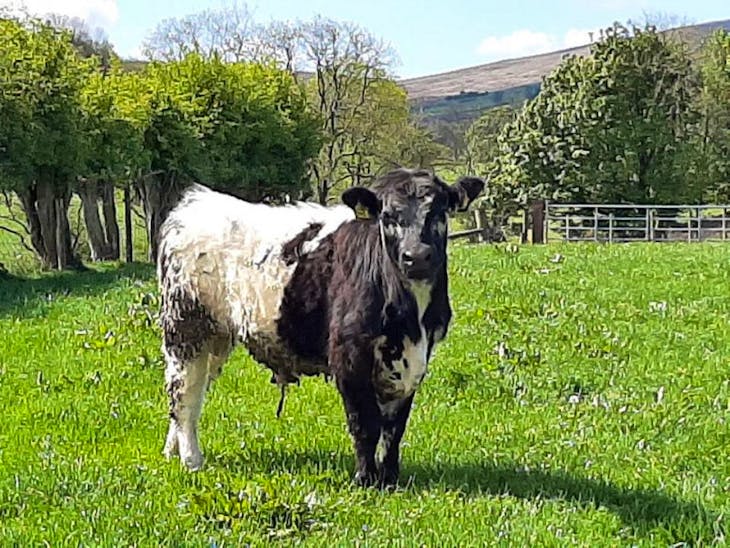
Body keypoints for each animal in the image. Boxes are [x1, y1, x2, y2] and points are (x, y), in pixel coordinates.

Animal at [156, 168, 480, 488]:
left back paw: (172, 451)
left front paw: (389, 480)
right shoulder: (349, 356)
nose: (417, 256)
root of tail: (195, 203)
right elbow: (365, 424)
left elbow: (394, 428)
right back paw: (191, 460)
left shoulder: (414, 358)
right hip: (186, 327)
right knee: (183, 393)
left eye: (440, 212)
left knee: (192, 392)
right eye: (387, 216)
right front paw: (365, 479)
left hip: (216, 338)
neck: (412, 320)